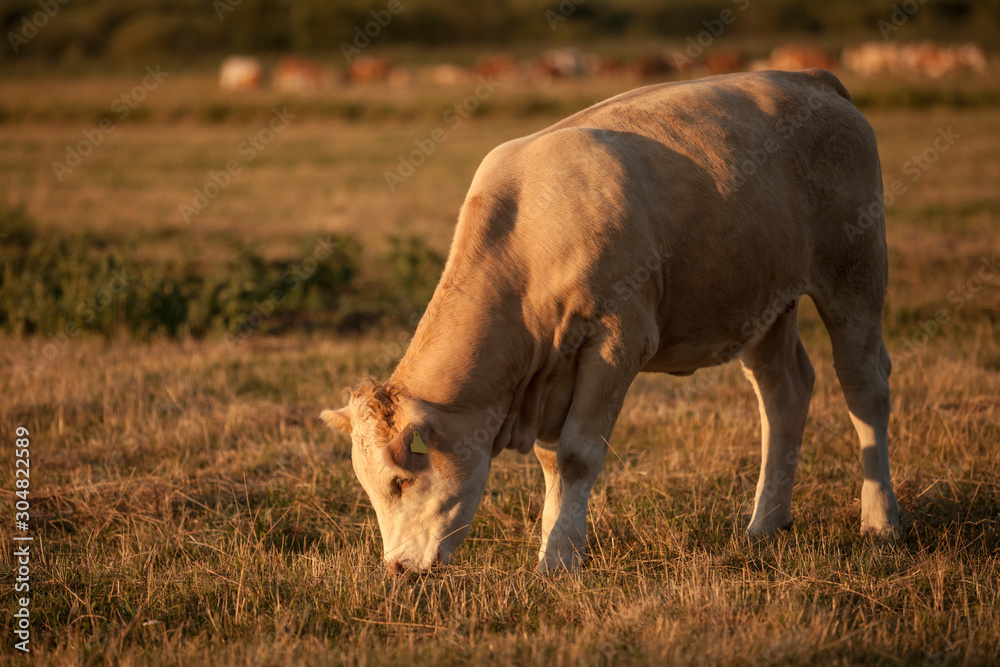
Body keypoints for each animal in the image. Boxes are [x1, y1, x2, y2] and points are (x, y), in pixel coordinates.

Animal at [322, 69, 901, 574]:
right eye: (369, 487)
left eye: (400, 480)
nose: (397, 568)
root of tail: (808, 77)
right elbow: (553, 463)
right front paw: (553, 545)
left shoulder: (618, 338)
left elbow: (578, 455)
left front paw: (558, 561)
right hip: (764, 298)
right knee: (784, 392)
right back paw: (765, 524)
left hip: (854, 271)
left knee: (864, 388)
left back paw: (881, 521)